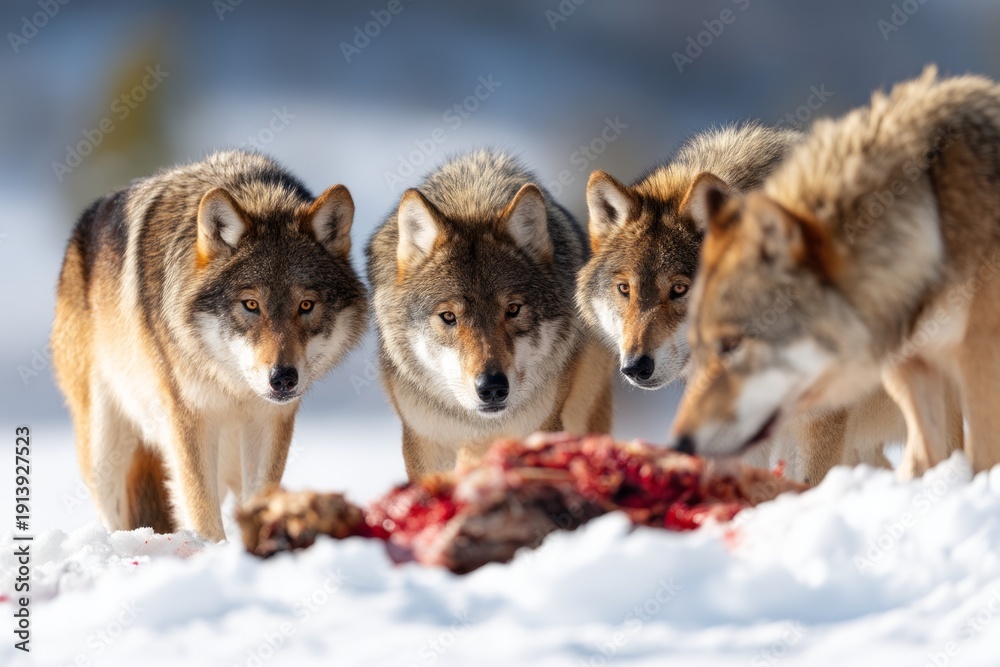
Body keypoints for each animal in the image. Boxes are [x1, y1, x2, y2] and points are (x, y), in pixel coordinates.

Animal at [52, 150, 368, 540]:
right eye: (251, 304)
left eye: (306, 305)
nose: (283, 378)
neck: (234, 388)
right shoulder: (190, 419)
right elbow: (203, 514)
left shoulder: (269, 422)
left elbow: (260, 497)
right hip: (104, 456)